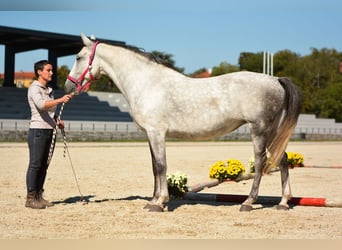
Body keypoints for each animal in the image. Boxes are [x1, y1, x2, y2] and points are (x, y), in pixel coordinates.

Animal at [65, 34, 302, 212]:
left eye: (78, 57)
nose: (68, 87)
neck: (146, 82)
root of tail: (276, 80)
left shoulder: (157, 132)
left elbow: (161, 165)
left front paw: (160, 202)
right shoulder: (150, 135)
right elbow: (155, 167)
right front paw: (153, 200)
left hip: (260, 130)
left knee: (261, 163)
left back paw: (248, 202)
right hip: (273, 133)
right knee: (282, 160)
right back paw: (283, 203)